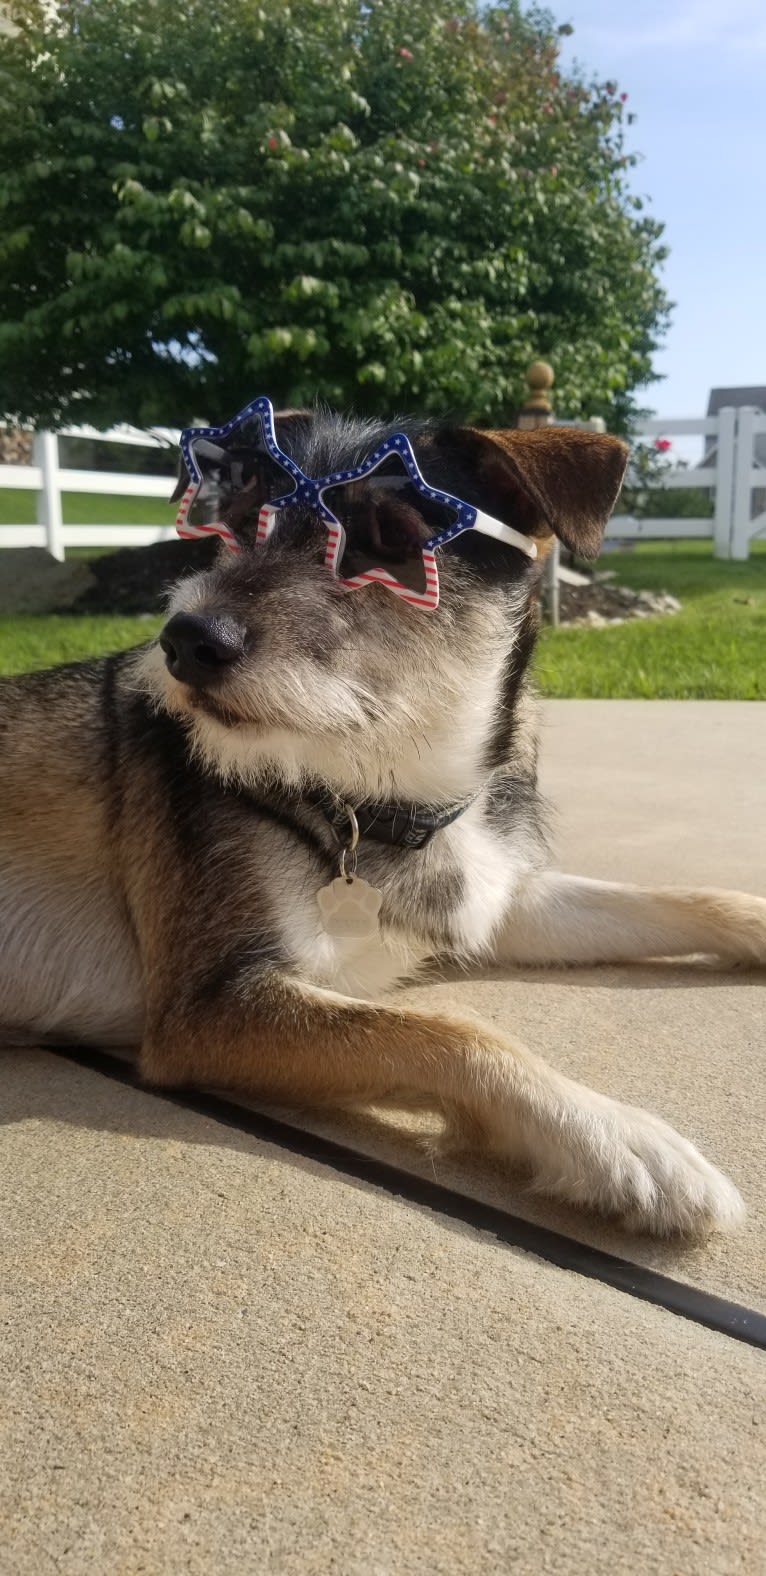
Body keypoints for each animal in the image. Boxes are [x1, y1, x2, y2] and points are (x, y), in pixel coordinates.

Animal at [2, 400, 762, 1235]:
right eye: (234, 523)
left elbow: (678, 897)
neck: (384, 794)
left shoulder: (491, 899)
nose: (187, 640)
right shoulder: (204, 1010)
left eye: (391, 537)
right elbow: (448, 1030)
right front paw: (618, 1139)